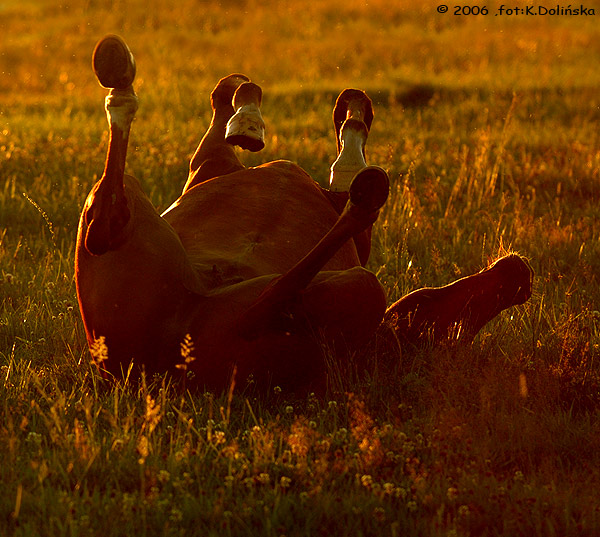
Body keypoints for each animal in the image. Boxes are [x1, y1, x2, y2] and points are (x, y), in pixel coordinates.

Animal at [76, 36, 536, 390]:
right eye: (426, 305)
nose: (518, 274)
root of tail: (165, 365)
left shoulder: (212, 164)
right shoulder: (212, 164)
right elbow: (230, 100)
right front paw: (254, 118)